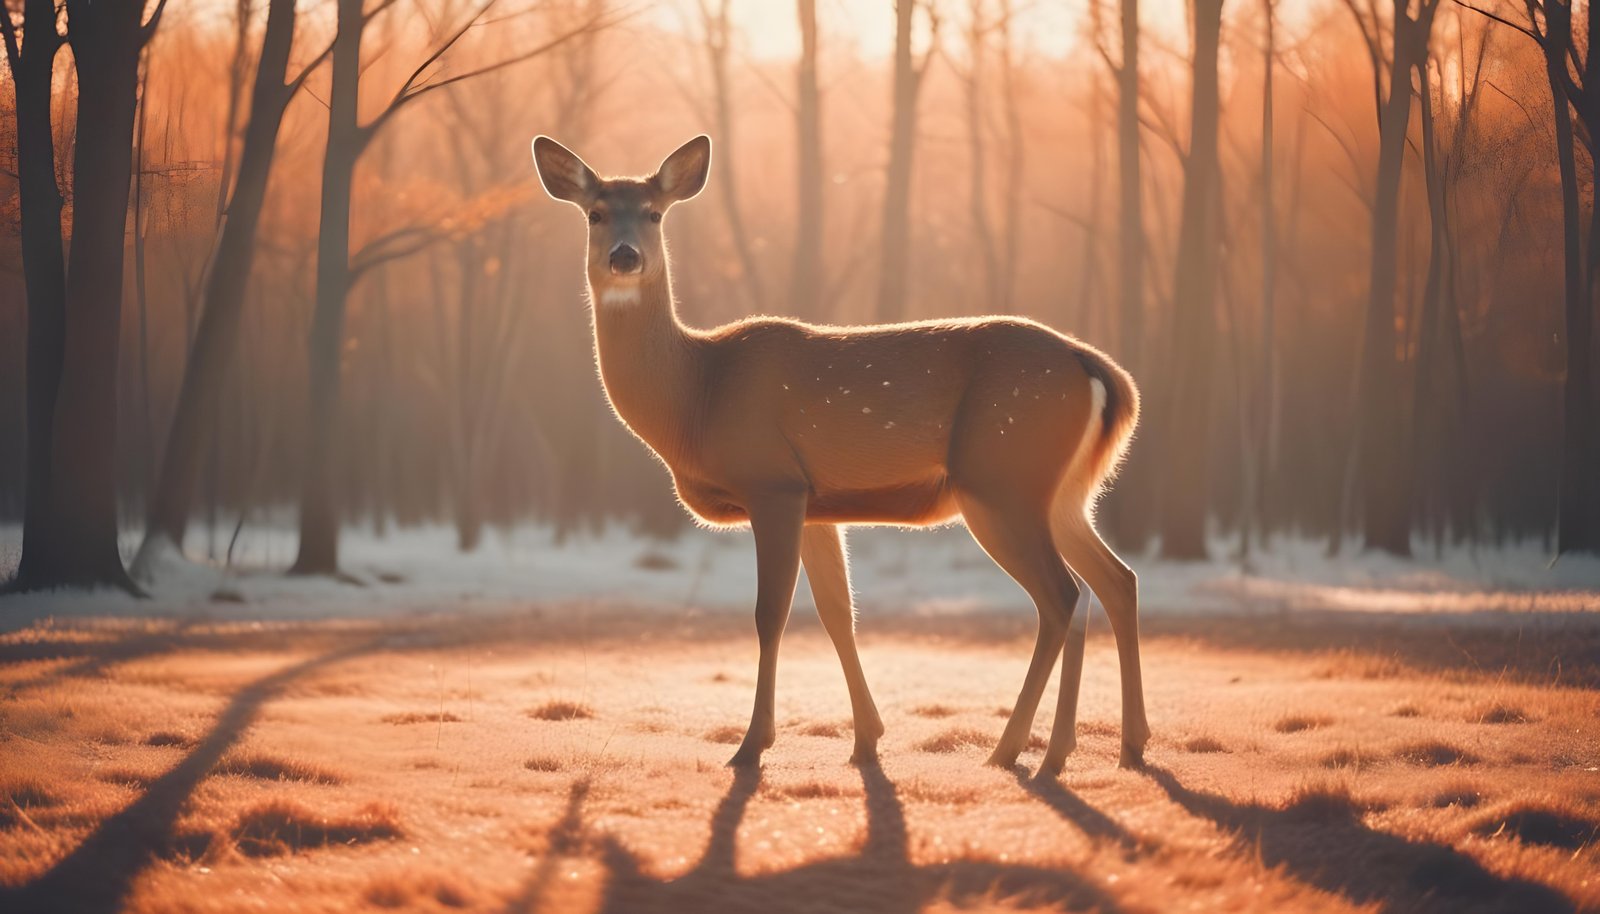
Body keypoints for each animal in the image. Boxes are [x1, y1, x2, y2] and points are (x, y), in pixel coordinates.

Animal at [531, 134, 1148, 774]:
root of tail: (1097, 369)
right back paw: (1113, 746)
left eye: (654, 213)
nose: (625, 256)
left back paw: (1014, 751)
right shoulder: (817, 505)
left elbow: (770, 613)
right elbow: (837, 614)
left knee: (1062, 595)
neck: (697, 396)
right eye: (596, 213)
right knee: (1115, 580)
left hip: (1002, 480)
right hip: (1062, 493)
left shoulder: (773, 482)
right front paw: (866, 739)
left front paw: (752, 745)